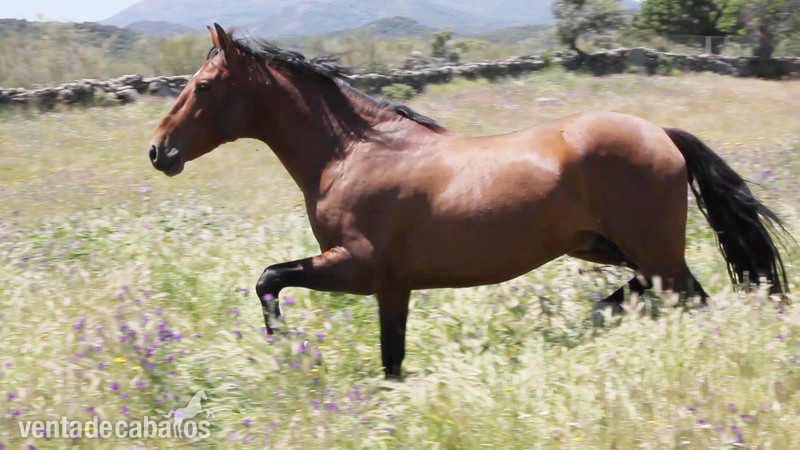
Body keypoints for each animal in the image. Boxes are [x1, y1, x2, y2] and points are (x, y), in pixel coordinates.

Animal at [149, 24, 790, 379]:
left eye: (202, 86)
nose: (159, 151)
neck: (351, 152)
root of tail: (661, 133)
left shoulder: (357, 267)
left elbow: (269, 278)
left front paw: (290, 354)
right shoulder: (392, 287)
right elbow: (391, 360)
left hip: (650, 252)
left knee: (690, 297)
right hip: (612, 248)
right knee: (673, 293)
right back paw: (603, 313)